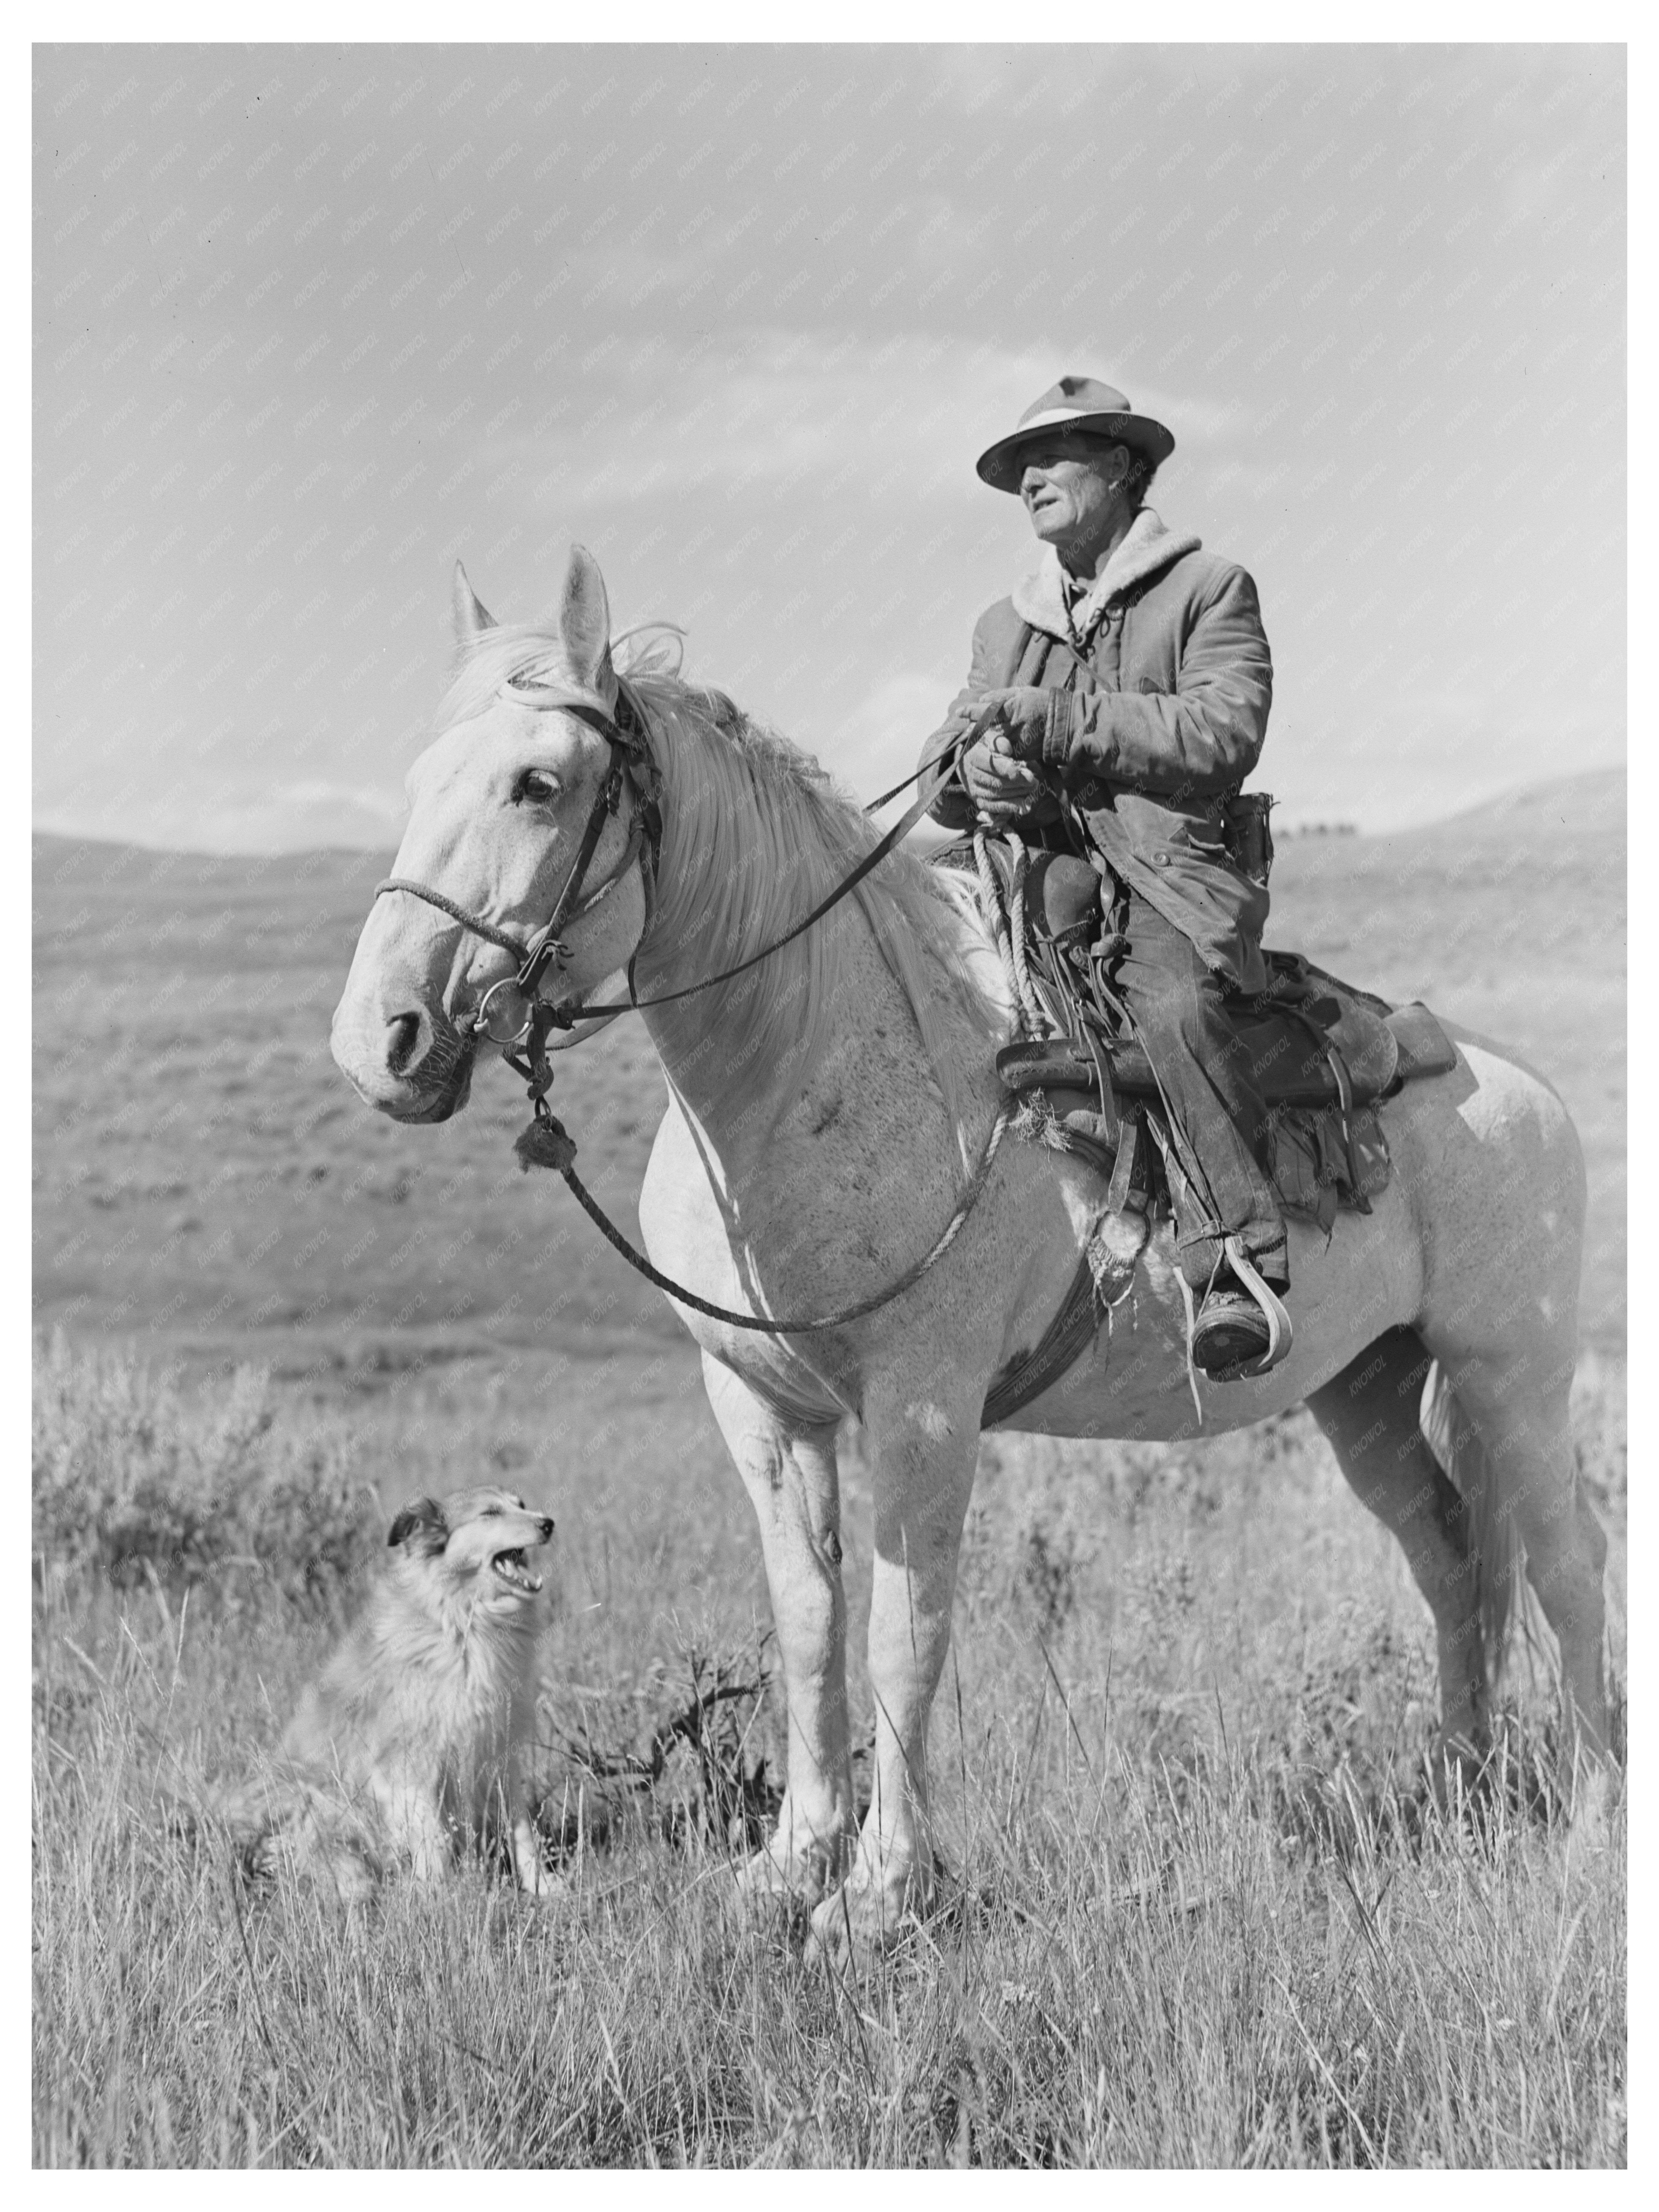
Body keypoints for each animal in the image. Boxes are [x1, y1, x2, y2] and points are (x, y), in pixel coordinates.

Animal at [214, 1486, 560, 1902]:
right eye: (490, 1513)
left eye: (521, 1505)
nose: (548, 1523)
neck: (464, 1622)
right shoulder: (411, 1764)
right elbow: (435, 1839)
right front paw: (440, 1898)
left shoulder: (498, 1750)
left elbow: (522, 1827)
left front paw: (543, 1885)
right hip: (312, 1795)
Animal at [331, 548, 1619, 1955]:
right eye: (418, 776)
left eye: (539, 783)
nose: (380, 1037)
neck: (809, 1062)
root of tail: (1508, 1081)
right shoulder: (760, 1408)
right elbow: (808, 1622)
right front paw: (788, 1863)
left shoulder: (925, 1403)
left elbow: (907, 1632)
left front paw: (879, 1892)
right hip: (1367, 1391)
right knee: (1450, 1552)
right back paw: (1461, 1784)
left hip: (1508, 1372)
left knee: (1563, 1559)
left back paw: (1588, 1820)